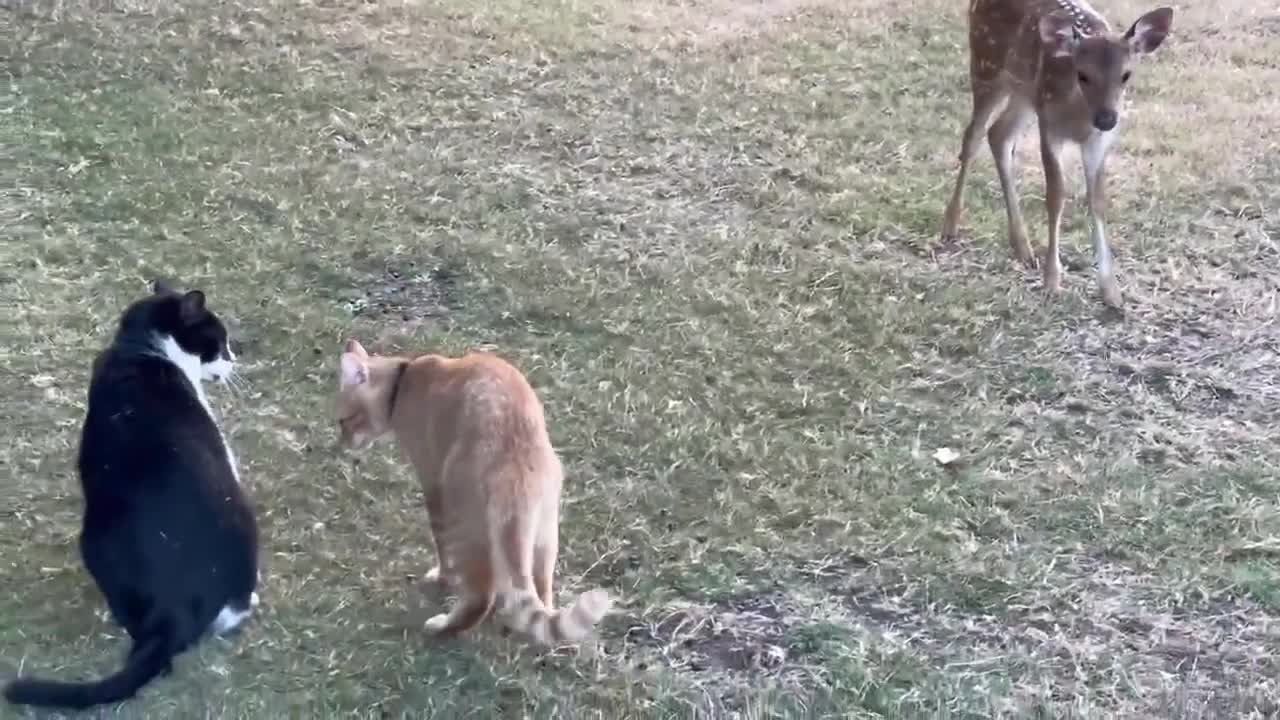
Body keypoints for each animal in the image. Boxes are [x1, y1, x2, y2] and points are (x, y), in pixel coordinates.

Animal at [330, 338, 609, 640]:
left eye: (344, 421)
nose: (343, 444)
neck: (403, 380)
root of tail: (514, 466)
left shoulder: (432, 482)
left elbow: (441, 546)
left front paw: (442, 577)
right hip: (544, 533)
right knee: (542, 592)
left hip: (465, 522)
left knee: (480, 598)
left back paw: (442, 627)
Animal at [936, 0, 1172, 304]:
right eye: (1083, 74)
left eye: (1126, 75)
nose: (1107, 119)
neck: (1079, 117)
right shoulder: (1050, 127)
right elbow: (1056, 196)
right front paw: (1052, 281)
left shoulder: (1098, 142)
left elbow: (1098, 201)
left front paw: (1111, 291)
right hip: (986, 66)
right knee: (972, 137)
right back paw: (950, 226)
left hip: (1024, 93)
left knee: (999, 135)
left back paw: (1023, 248)